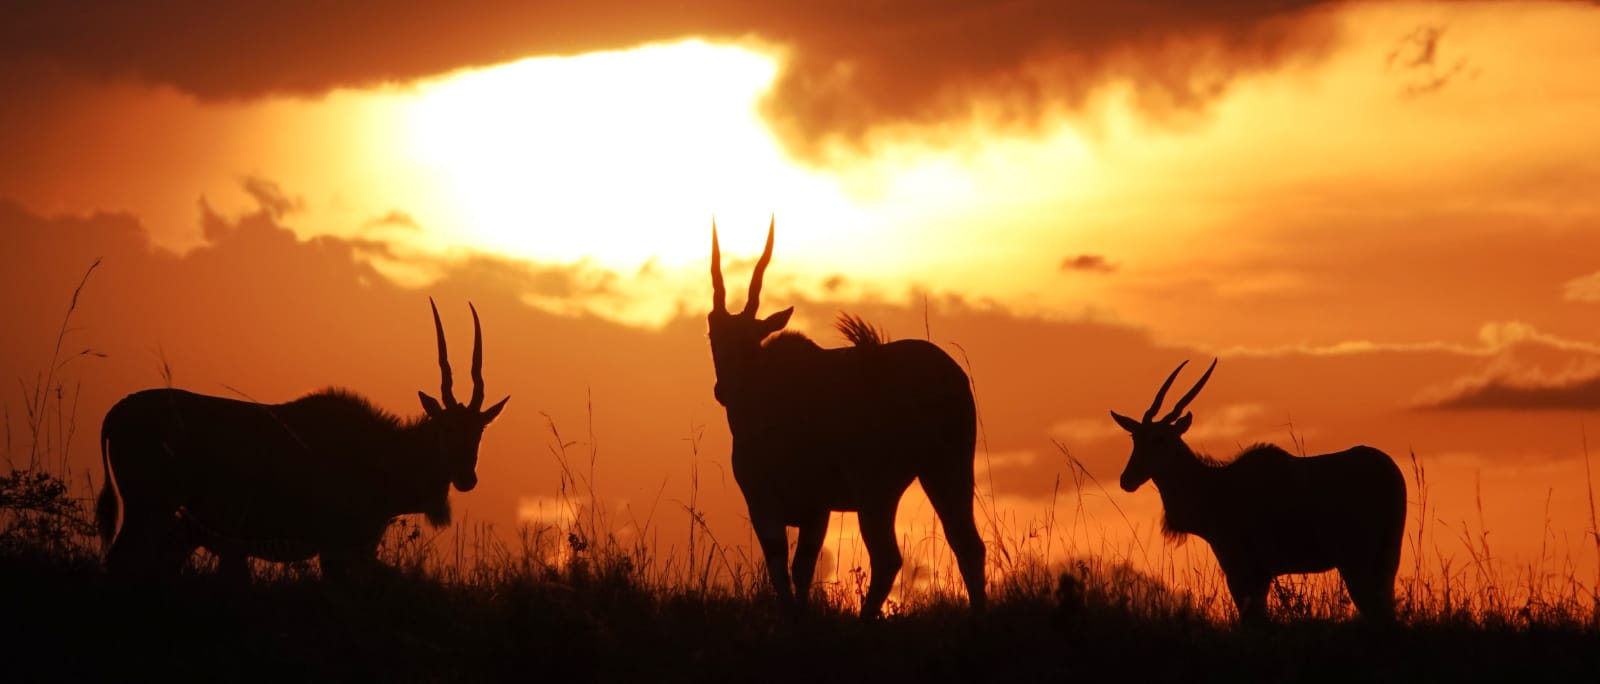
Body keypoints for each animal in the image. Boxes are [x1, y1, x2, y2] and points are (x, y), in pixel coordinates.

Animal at [96, 298, 505, 581]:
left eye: (479, 429)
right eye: (446, 427)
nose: (466, 478)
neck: (381, 450)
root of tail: (117, 411)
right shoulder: (336, 550)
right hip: (149, 506)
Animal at [713, 218, 985, 620]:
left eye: (751, 338)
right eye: (713, 337)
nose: (724, 390)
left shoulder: (768, 501)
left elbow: (783, 568)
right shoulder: (815, 510)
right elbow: (802, 568)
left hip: (876, 489)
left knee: (888, 557)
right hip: (945, 473)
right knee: (968, 545)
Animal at [1113, 361, 1401, 623]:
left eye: (1159, 438)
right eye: (1135, 437)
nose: (1127, 479)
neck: (1213, 487)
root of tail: (1391, 472)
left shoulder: (1243, 570)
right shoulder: (1260, 575)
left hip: (1356, 561)